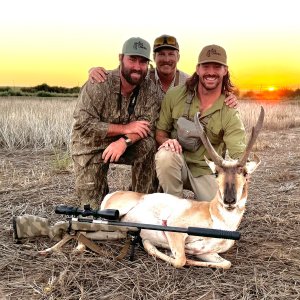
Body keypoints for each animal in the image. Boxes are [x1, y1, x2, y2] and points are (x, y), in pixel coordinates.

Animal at [101, 106, 264, 268]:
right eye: (216, 173)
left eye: (245, 173)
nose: (229, 200)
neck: (216, 217)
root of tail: (114, 194)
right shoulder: (175, 228)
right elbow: (181, 259)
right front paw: (152, 246)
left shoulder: (207, 252)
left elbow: (226, 263)